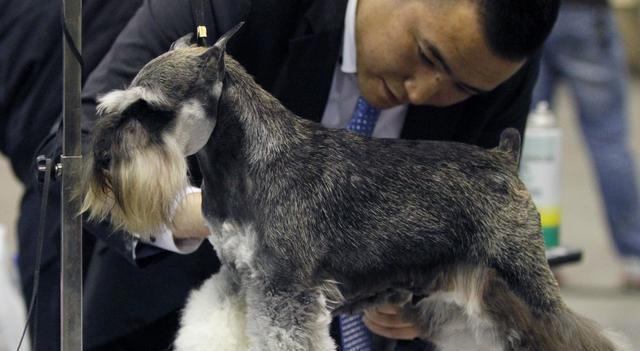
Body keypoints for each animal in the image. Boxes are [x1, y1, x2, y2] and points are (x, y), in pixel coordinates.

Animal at [82, 24, 628, 351]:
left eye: (152, 108)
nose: (101, 159)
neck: (244, 162)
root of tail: (505, 156)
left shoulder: (286, 290)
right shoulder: (241, 281)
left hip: (525, 284)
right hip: (485, 294)